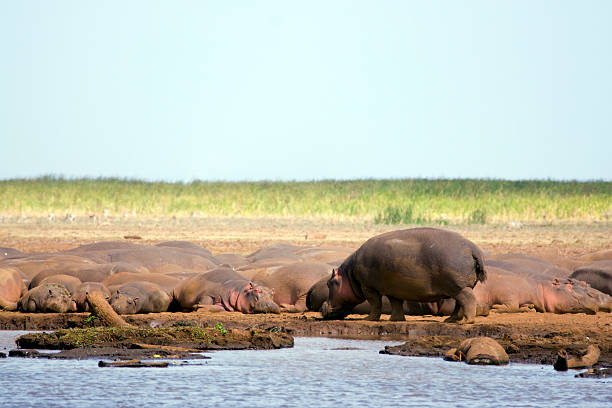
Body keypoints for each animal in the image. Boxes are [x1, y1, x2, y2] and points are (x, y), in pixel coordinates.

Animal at [318, 228, 486, 324]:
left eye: (329, 283)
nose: (322, 307)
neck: (348, 274)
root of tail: (472, 248)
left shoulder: (368, 287)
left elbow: (375, 303)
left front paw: (368, 319)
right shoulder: (393, 289)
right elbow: (396, 303)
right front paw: (395, 320)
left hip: (458, 287)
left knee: (468, 300)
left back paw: (466, 322)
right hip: (458, 287)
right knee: (460, 303)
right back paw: (450, 320)